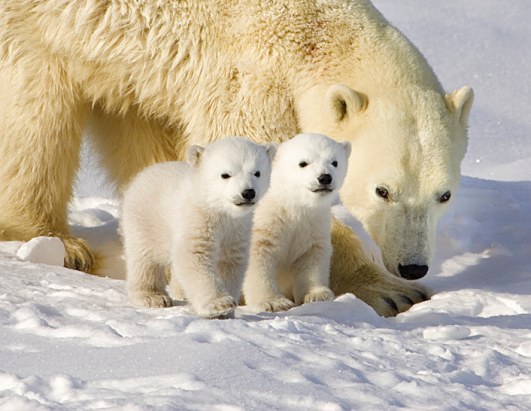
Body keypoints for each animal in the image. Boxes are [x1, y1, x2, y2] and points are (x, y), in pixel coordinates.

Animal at [0, 0, 474, 316]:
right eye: (382, 191)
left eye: (445, 195)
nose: (412, 267)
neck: (309, 30)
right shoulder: (246, 76)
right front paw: (389, 291)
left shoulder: (151, 70)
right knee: (34, 117)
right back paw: (56, 243)